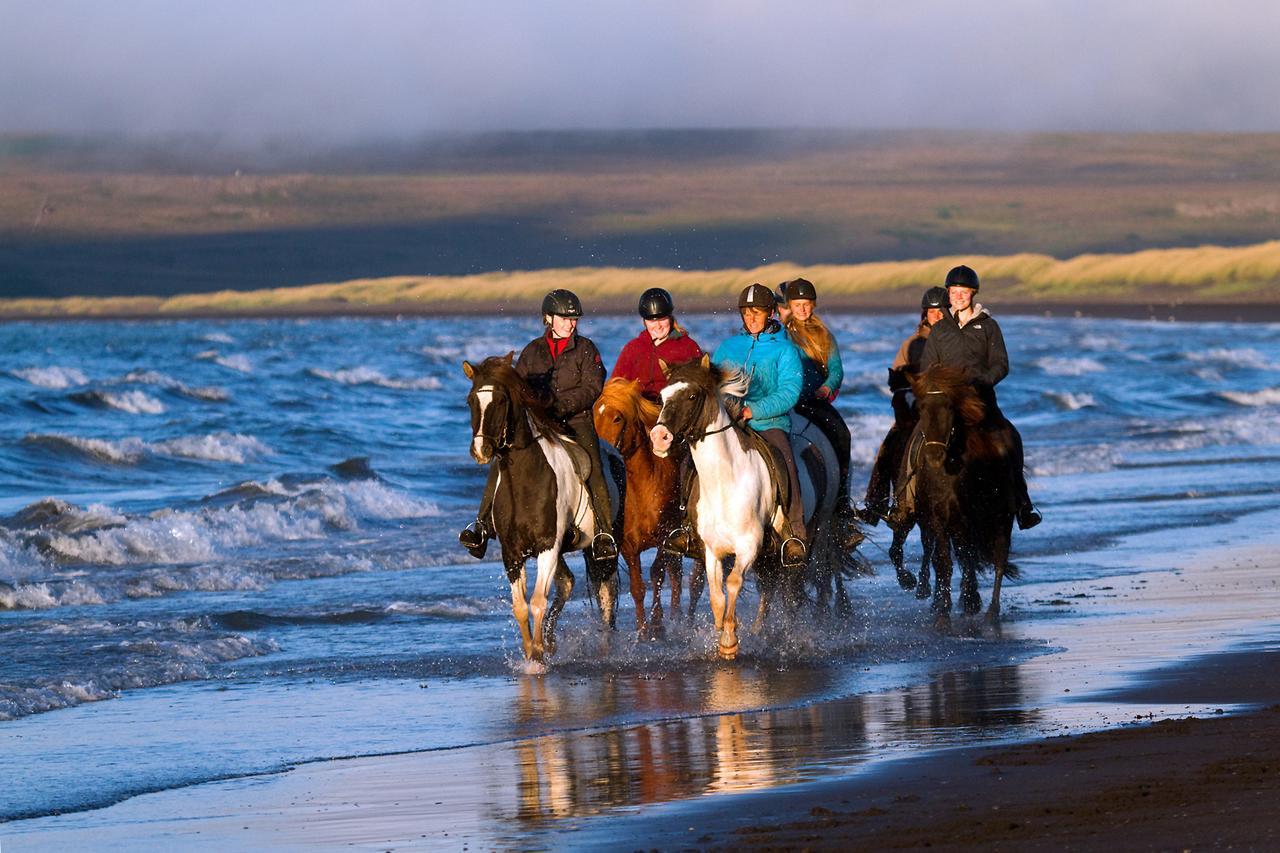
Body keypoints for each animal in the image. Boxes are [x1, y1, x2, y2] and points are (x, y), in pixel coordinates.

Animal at [593, 376, 706, 635]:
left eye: (617, 418)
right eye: (593, 414)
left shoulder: (667, 537)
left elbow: (657, 574)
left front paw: (656, 623)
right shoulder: (627, 545)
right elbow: (637, 587)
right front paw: (642, 629)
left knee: (690, 581)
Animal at [911, 361, 1018, 622]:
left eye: (950, 407)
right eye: (921, 406)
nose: (934, 455)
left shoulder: (969, 518)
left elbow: (967, 557)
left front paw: (968, 601)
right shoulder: (939, 517)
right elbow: (944, 560)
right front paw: (944, 605)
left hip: (1001, 516)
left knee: (999, 556)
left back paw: (991, 610)